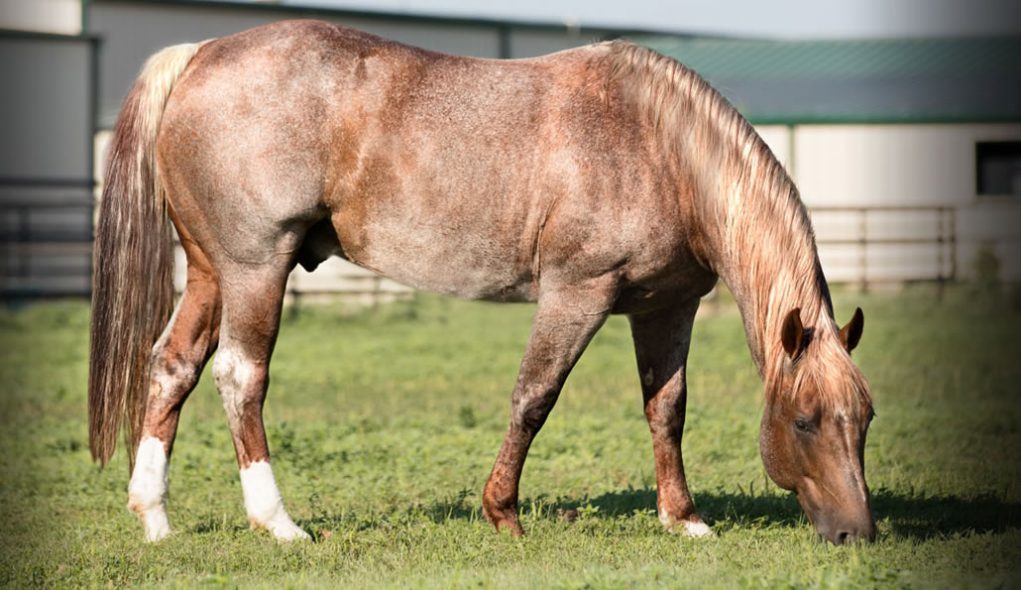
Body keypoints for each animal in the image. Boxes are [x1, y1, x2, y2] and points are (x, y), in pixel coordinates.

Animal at [87, 20, 873, 543]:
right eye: (804, 420)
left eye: (863, 421)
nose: (855, 533)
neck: (658, 147)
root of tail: (201, 54)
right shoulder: (577, 293)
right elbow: (534, 397)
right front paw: (503, 512)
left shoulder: (666, 308)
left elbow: (666, 410)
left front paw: (683, 519)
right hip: (256, 269)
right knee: (241, 377)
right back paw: (278, 523)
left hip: (211, 271)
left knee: (174, 368)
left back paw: (154, 518)